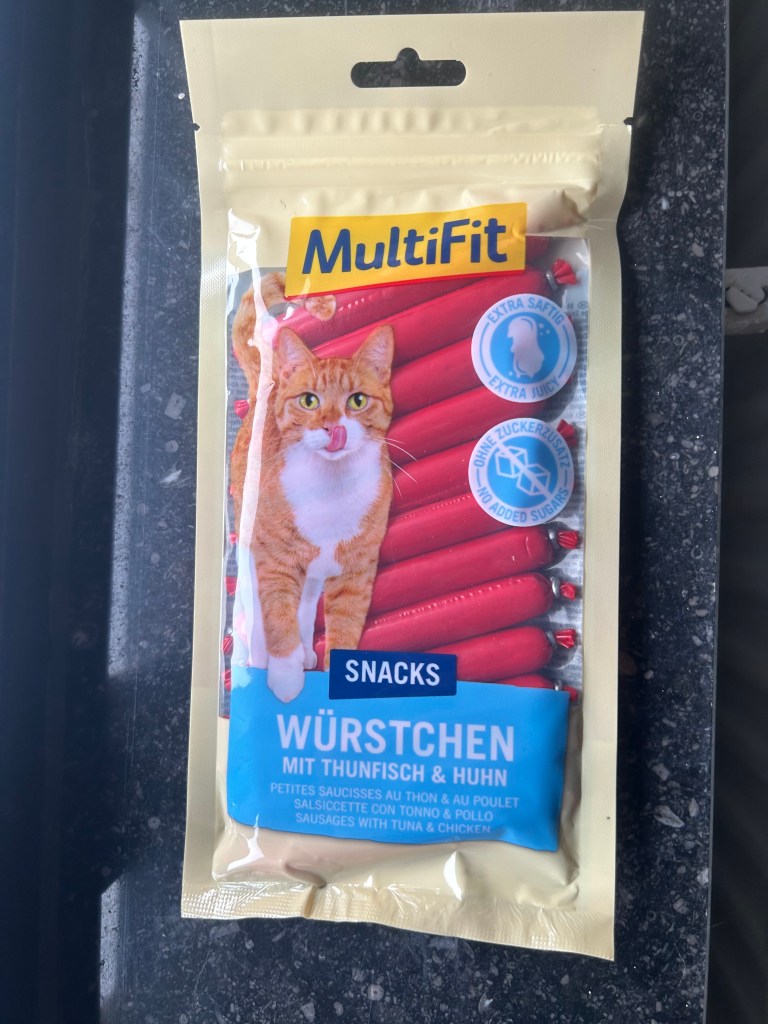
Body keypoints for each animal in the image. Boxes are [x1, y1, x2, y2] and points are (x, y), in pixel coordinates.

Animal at [230, 286, 395, 702]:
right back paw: (261, 655)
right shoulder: (276, 561)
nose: (332, 426)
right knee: (258, 603)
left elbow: (344, 627)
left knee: (304, 607)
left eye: (357, 400)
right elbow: (277, 617)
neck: (331, 487)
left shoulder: (356, 570)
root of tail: (265, 390)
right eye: (309, 401)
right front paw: (285, 679)